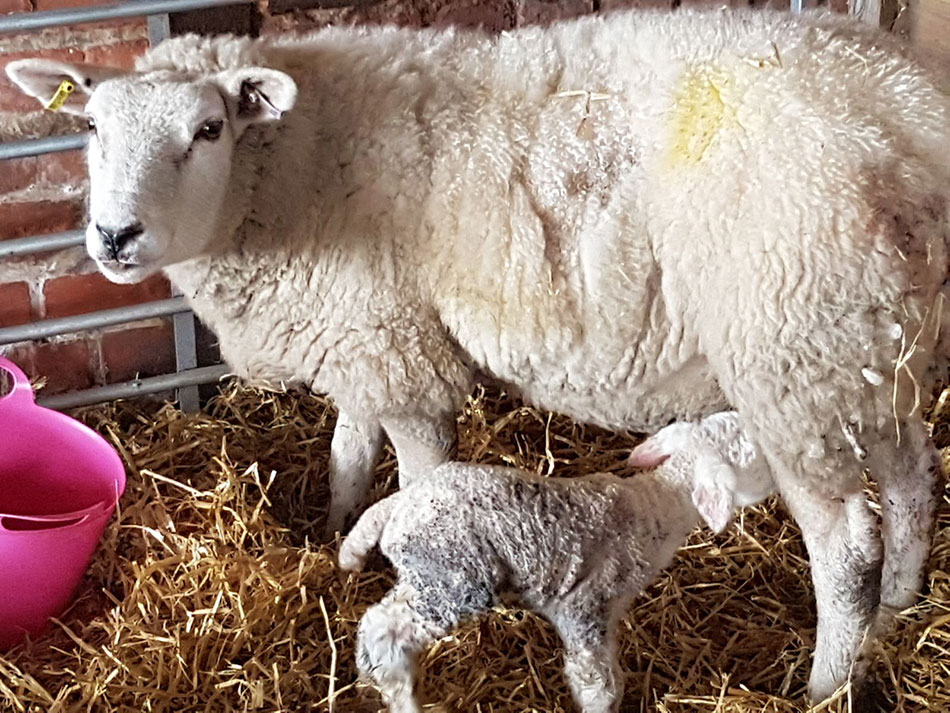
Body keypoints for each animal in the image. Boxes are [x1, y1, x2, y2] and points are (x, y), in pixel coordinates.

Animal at [338, 411, 774, 713]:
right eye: (757, 457)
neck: (656, 504)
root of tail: (398, 506)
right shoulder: (586, 607)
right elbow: (597, 683)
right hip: (452, 578)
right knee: (383, 629)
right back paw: (403, 699)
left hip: (428, 576)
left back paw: (367, 683)